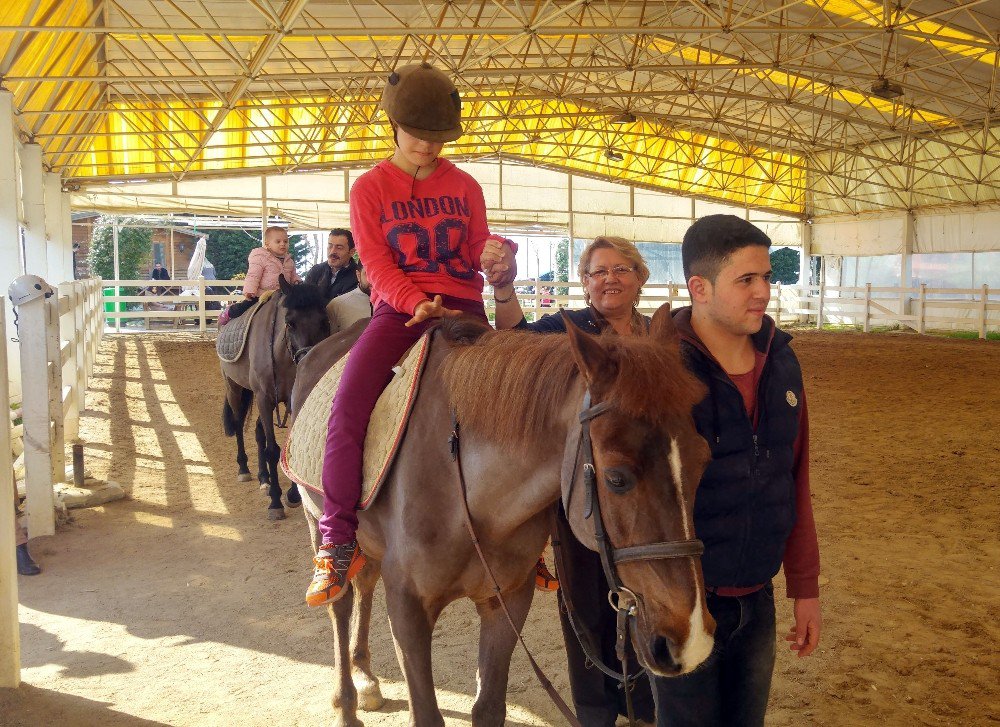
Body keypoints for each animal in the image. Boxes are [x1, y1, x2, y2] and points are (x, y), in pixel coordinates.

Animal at [221, 276, 330, 520]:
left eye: (324, 319)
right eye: (290, 322)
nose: (310, 359)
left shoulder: (289, 400)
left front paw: (293, 495)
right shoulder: (263, 398)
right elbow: (272, 450)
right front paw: (275, 501)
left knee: (258, 431)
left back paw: (264, 478)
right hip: (234, 388)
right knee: (239, 425)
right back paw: (244, 469)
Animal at [288, 302, 712, 727]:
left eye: (703, 460)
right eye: (617, 478)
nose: (691, 640)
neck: (463, 488)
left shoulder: (507, 599)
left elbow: (489, 707)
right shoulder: (408, 608)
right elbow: (427, 713)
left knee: (364, 585)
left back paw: (366, 677)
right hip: (317, 522)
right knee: (341, 603)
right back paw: (347, 700)